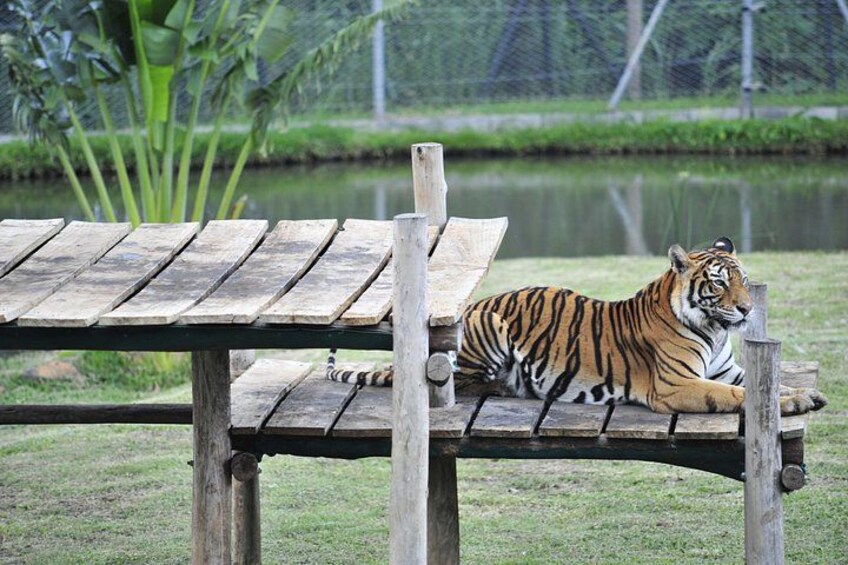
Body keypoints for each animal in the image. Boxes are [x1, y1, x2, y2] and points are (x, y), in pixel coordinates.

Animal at [327, 237, 827, 416]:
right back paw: (509, 387)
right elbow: (736, 396)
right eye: (720, 283)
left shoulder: (729, 370)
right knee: (465, 381)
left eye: (743, 279)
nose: (745, 309)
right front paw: (795, 402)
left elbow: (768, 382)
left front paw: (804, 393)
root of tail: (475, 304)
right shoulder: (677, 385)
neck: (713, 328)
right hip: (489, 329)